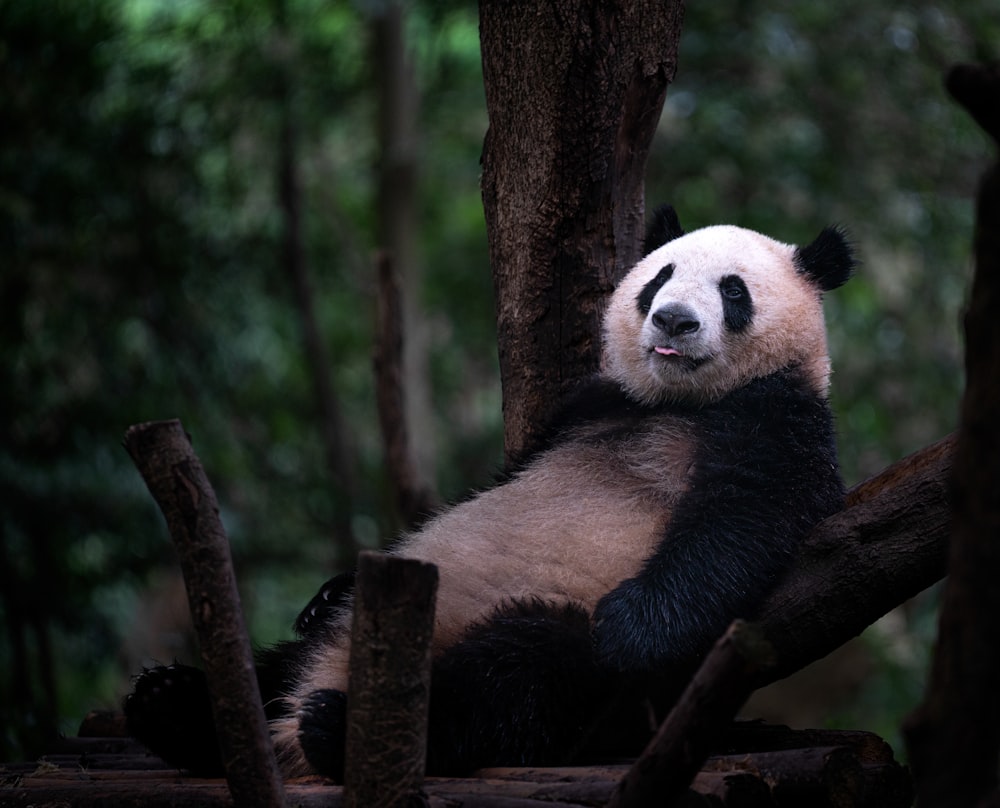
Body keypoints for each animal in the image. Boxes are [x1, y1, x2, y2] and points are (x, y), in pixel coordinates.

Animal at [125, 205, 856, 780]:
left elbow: (742, 521)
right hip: (346, 633)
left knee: (518, 676)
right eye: (660, 278)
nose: (673, 321)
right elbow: (512, 471)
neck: (678, 404)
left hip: (550, 631)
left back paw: (334, 729)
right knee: (285, 660)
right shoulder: (588, 407)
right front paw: (327, 588)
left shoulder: (779, 424)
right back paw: (172, 702)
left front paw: (630, 626)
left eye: (733, 291)